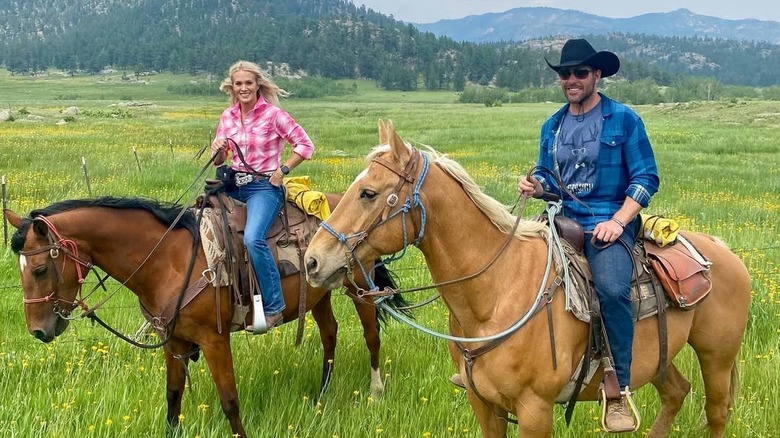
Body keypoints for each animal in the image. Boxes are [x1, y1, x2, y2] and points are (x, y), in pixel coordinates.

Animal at [6, 196, 406, 438]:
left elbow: (229, 400)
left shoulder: (214, 340)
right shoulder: (174, 340)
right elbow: (173, 395)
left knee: (371, 336)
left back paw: (376, 392)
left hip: (360, 287)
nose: (38, 331)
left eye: (40, 269)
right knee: (329, 333)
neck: (167, 259)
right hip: (319, 295)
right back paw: (322, 394)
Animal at [304, 120, 748, 438]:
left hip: (717, 357)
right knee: (676, 393)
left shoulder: (536, 410)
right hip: (659, 357)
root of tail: (722, 251)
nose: (312, 260)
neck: (495, 294)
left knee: (716, 412)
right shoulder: (485, 406)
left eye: (368, 193)